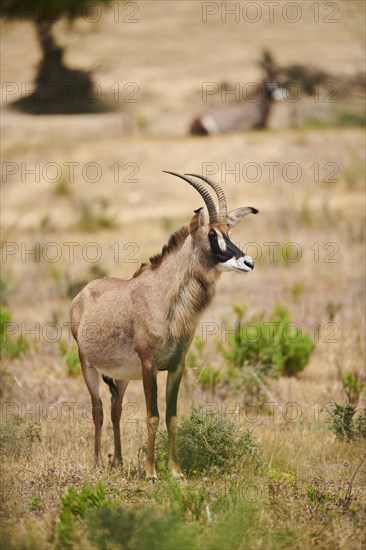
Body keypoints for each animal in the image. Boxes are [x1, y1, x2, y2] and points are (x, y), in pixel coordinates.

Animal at [71, 172, 258, 484]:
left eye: (229, 233)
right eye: (212, 235)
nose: (248, 262)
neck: (165, 298)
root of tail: (82, 294)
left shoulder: (176, 366)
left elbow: (171, 416)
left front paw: (175, 470)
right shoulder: (149, 366)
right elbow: (153, 415)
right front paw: (151, 472)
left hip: (121, 376)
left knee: (115, 409)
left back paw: (118, 461)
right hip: (88, 366)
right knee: (97, 410)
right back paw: (97, 463)